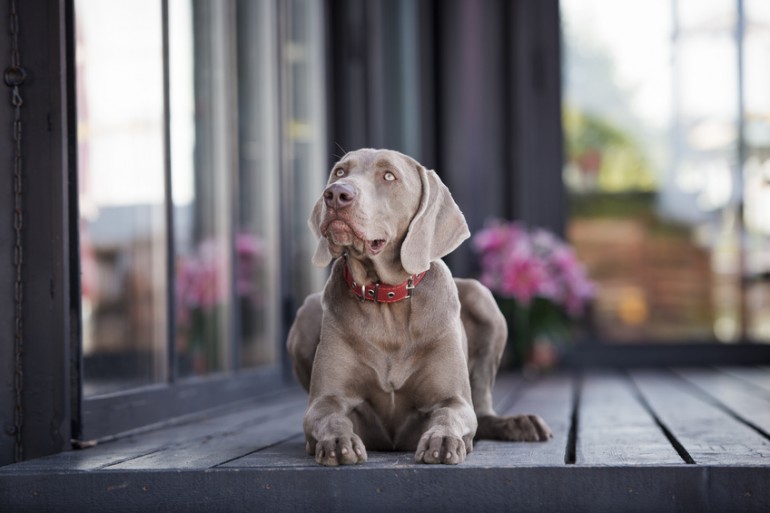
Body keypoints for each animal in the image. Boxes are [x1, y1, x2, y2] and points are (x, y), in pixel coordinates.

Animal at [284, 148, 548, 464]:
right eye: (339, 172)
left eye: (389, 176)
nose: (336, 194)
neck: (386, 300)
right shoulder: (325, 401)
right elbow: (331, 417)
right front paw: (337, 442)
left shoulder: (454, 400)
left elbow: (450, 415)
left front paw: (442, 440)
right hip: (307, 311)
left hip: (482, 297)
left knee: (482, 411)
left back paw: (518, 423)